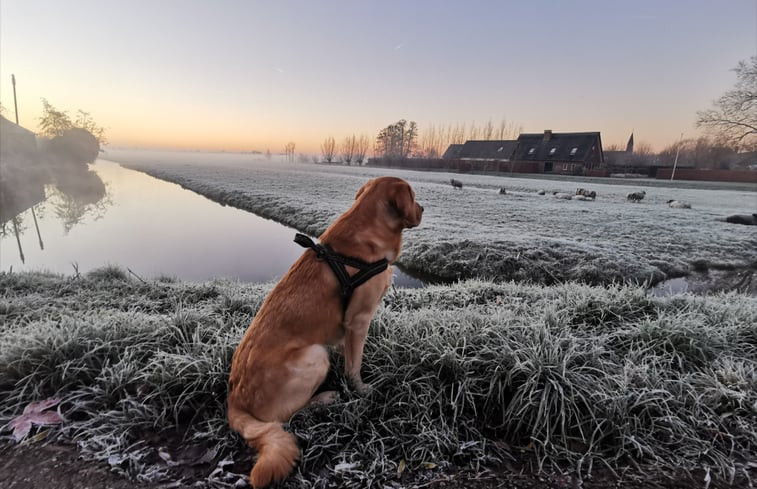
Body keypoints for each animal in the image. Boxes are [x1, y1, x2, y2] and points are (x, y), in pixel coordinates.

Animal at [227, 177, 422, 486]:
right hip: (316, 355)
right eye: (413, 196)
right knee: (285, 417)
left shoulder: (348, 329)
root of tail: (235, 397)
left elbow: (349, 354)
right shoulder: (358, 320)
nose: (423, 209)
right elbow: (354, 366)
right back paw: (324, 398)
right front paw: (360, 389)